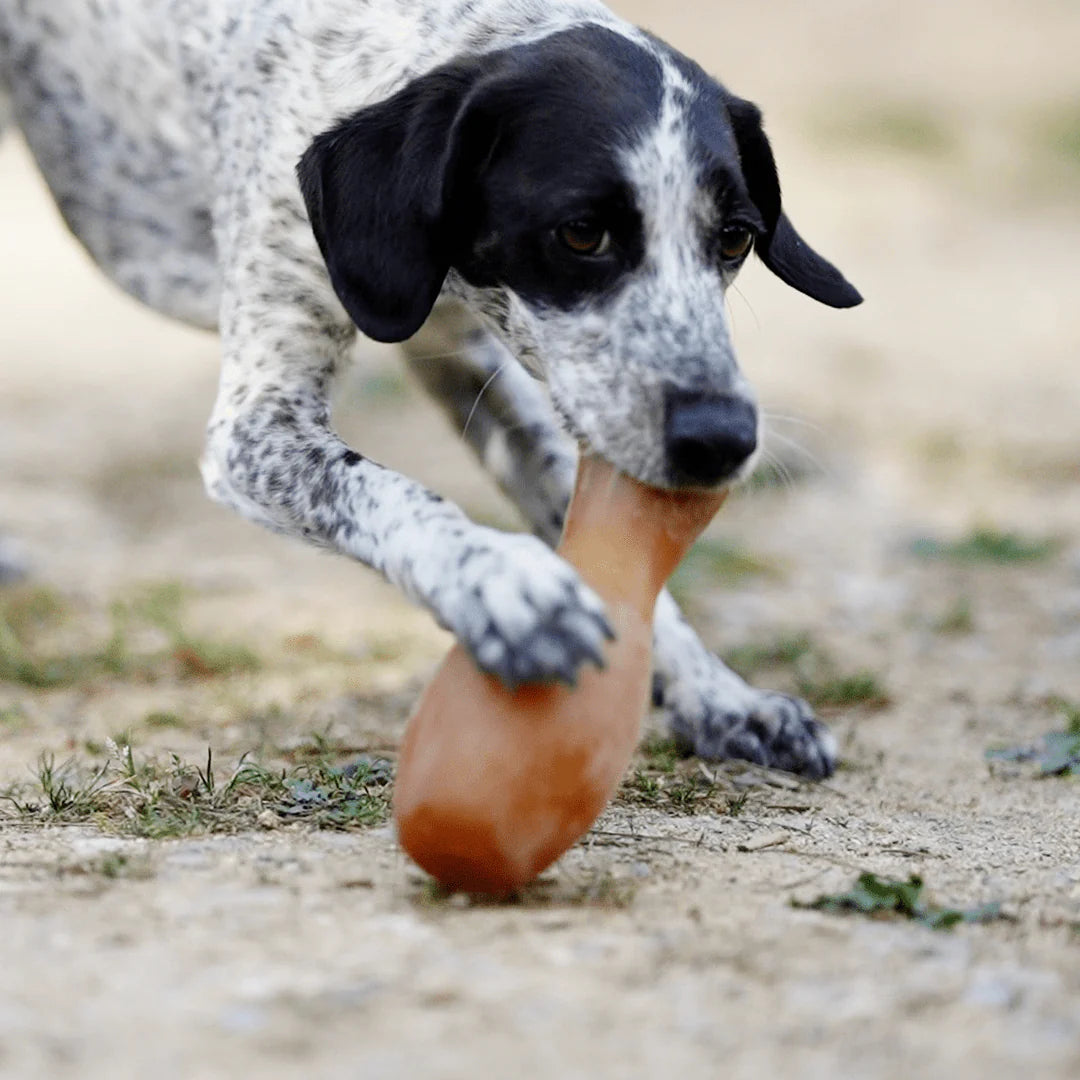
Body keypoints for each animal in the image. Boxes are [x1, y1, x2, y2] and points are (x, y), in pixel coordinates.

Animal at [0, 0, 859, 777]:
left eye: (735, 238)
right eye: (582, 233)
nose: (722, 439)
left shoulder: (465, 358)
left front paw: (718, 695)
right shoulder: (255, 426)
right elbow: (391, 492)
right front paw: (503, 585)